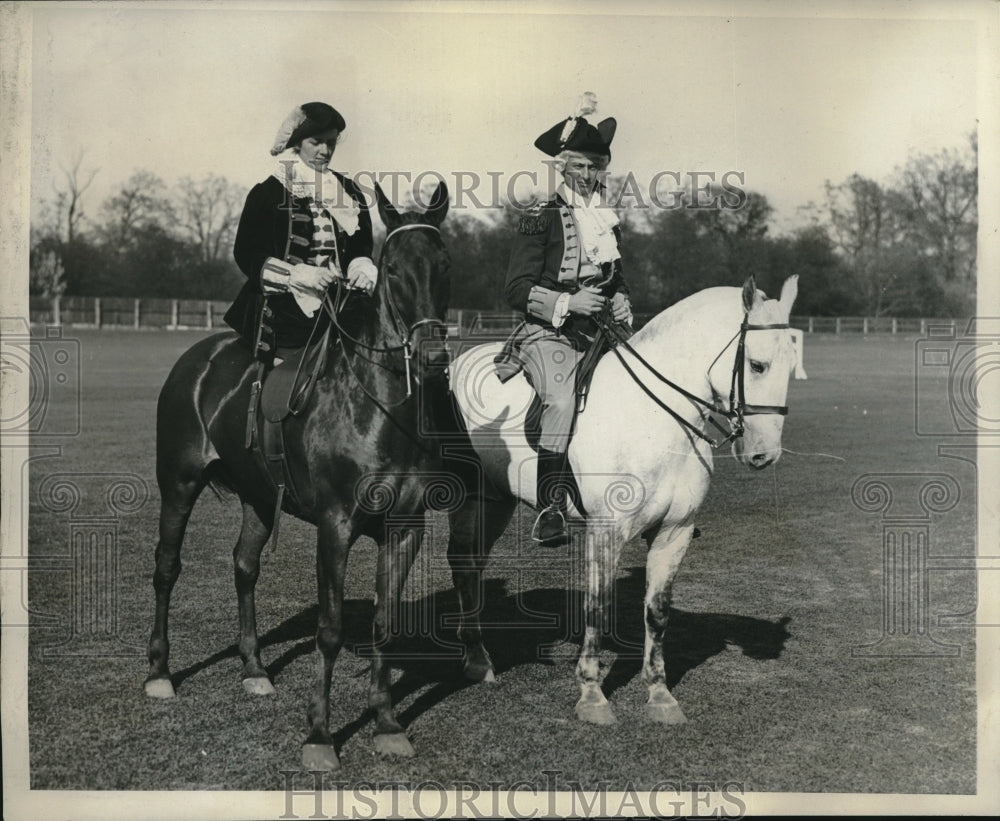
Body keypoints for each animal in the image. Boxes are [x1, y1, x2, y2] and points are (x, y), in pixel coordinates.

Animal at [143, 179, 452, 768]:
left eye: (444, 262)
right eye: (393, 269)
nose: (432, 357)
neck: (379, 407)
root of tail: (197, 358)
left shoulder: (404, 528)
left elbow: (385, 624)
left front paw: (386, 723)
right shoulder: (335, 526)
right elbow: (329, 630)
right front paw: (320, 735)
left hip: (261, 497)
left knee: (244, 566)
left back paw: (254, 668)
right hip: (178, 482)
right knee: (167, 568)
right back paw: (159, 673)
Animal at [446, 274, 796, 724]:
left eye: (793, 366)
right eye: (757, 365)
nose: (763, 454)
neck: (656, 420)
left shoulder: (673, 533)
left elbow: (657, 611)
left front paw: (660, 695)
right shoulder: (605, 533)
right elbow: (597, 607)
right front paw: (592, 696)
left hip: (496, 498)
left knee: (472, 564)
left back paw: (477, 657)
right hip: (470, 497)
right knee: (462, 562)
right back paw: (477, 659)